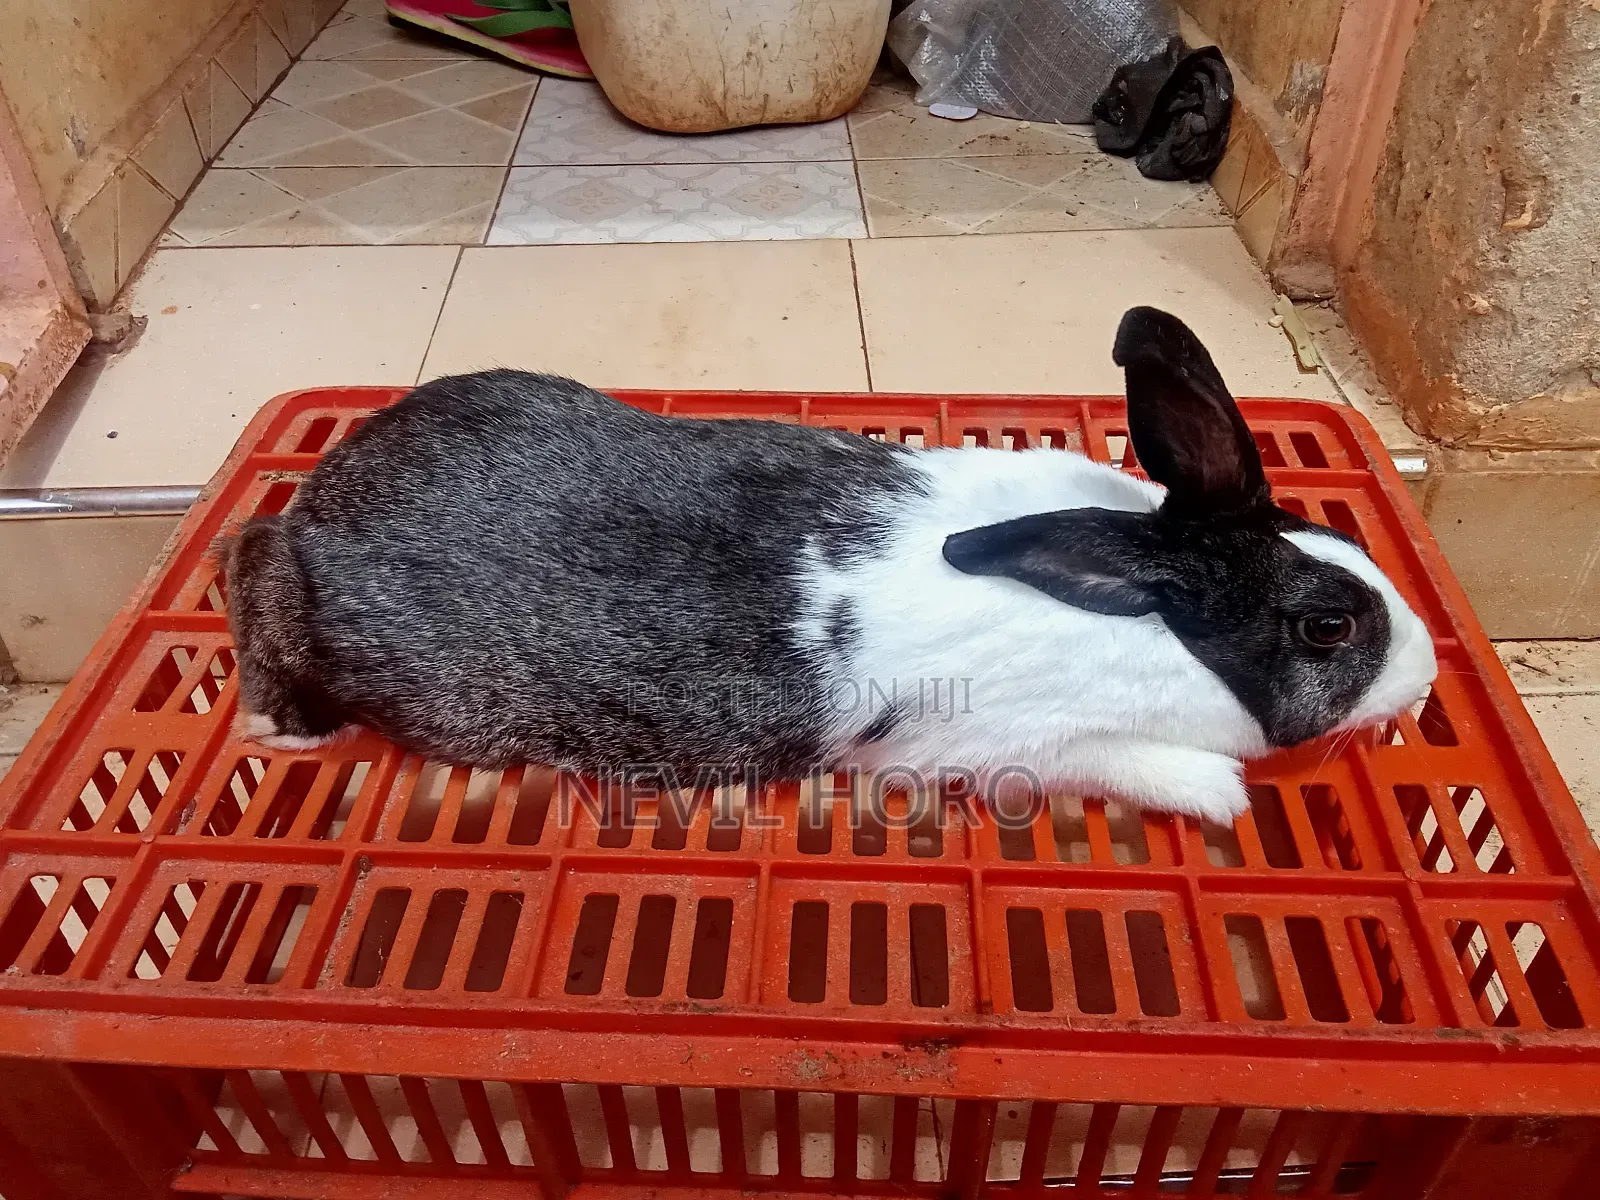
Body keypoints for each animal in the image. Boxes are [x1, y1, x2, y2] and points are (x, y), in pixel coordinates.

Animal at [223, 306, 1437, 824]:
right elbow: (1155, 770)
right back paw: (283, 717)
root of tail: (320, 506)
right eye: (1327, 628)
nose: (1427, 679)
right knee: (248, 567)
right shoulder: (1030, 745)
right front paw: (1223, 796)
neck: (1152, 605)